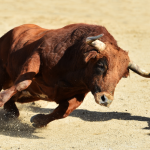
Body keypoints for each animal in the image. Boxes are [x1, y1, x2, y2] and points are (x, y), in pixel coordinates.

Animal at [0, 23, 148, 126]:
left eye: (121, 76)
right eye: (101, 65)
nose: (106, 100)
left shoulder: (79, 93)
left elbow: (64, 112)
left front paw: (38, 120)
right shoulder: (37, 55)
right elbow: (23, 82)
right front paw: (1, 98)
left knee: (15, 107)